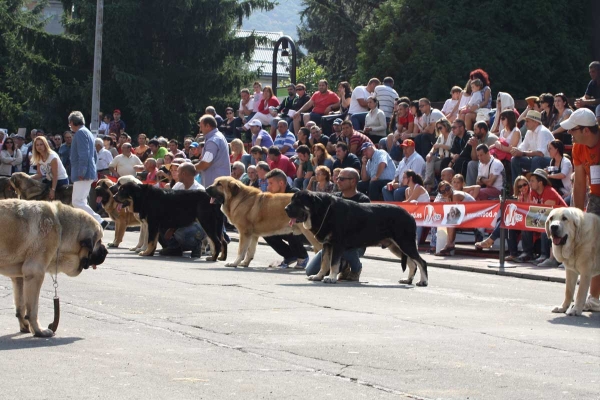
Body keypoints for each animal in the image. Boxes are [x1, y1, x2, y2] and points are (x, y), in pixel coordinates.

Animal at [284, 191, 426, 284]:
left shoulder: (337, 244)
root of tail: (410, 215)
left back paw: (423, 282)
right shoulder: (327, 244)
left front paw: (331, 278)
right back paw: (408, 280)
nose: (285, 209)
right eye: (291, 200)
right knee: (412, 262)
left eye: (298, 202)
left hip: (405, 243)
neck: (323, 211)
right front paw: (318, 276)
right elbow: (324, 262)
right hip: (396, 246)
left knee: (421, 262)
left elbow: (333, 263)